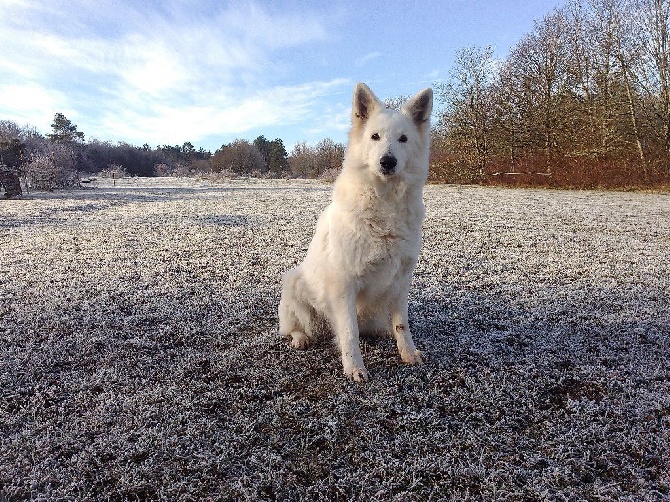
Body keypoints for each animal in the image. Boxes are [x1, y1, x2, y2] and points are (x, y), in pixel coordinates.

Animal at [280, 81, 434, 380]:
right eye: (375, 136)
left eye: (403, 139)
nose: (388, 161)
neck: (384, 203)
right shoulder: (344, 284)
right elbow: (349, 332)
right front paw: (354, 368)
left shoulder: (401, 281)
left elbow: (402, 325)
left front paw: (408, 353)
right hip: (294, 286)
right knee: (295, 328)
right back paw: (300, 338)